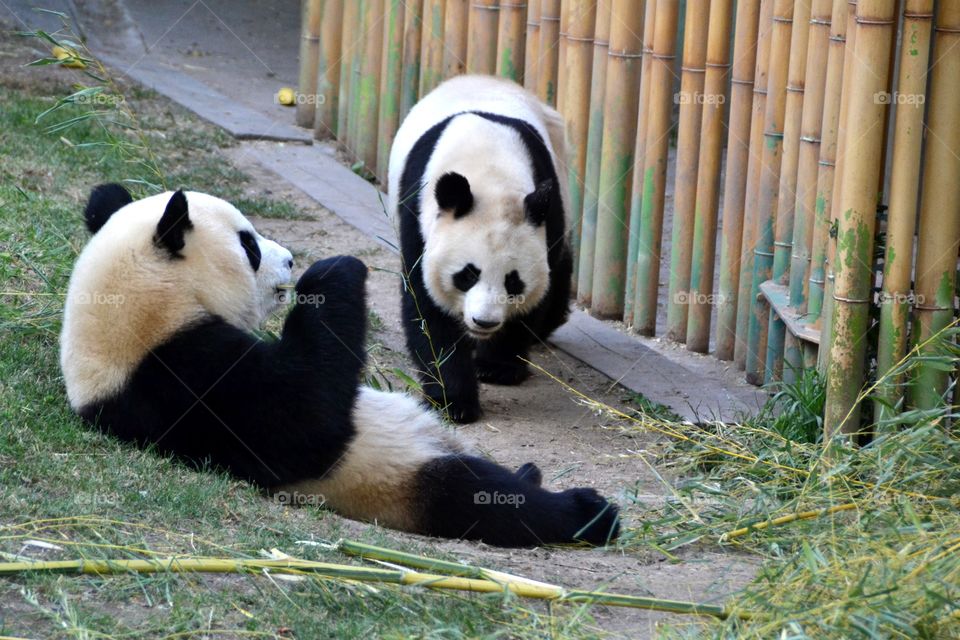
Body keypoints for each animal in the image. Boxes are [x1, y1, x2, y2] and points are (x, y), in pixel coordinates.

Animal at [60, 184, 619, 547]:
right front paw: (332, 272)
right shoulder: (180, 375)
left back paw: (532, 472)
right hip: (397, 478)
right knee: (481, 498)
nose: (289, 260)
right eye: (248, 244)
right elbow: (302, 420)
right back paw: (586, 512)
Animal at [388, 75, 573, 424]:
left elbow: (533, 302)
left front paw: (497, 367)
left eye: (514, 282)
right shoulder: (419, 221)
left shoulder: (546, 209)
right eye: (467, 275)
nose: (484, 323)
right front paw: (453, 402)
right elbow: (429, 311)